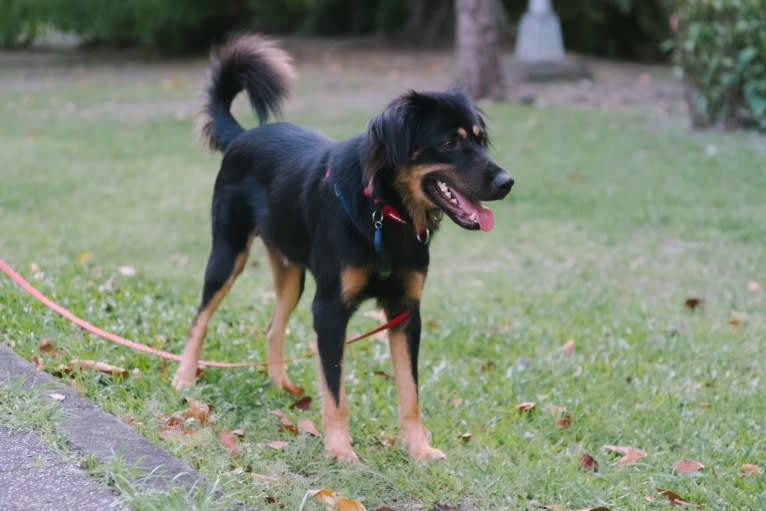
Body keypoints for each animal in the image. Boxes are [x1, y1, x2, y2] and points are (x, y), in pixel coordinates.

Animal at [174, 34, 516, 462]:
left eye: (479, 139)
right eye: (449, 142)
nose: (507, 182)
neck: (385, 213)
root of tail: (242, 136)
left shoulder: (405, 311)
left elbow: (410, 392)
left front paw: (418, 448)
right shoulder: (330, 310)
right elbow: (335, 392)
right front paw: (340, 450)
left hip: (291, 272)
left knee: (272, 327)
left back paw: (279, 385)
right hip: (227, 254)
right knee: (200, 318)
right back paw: (184, 377)